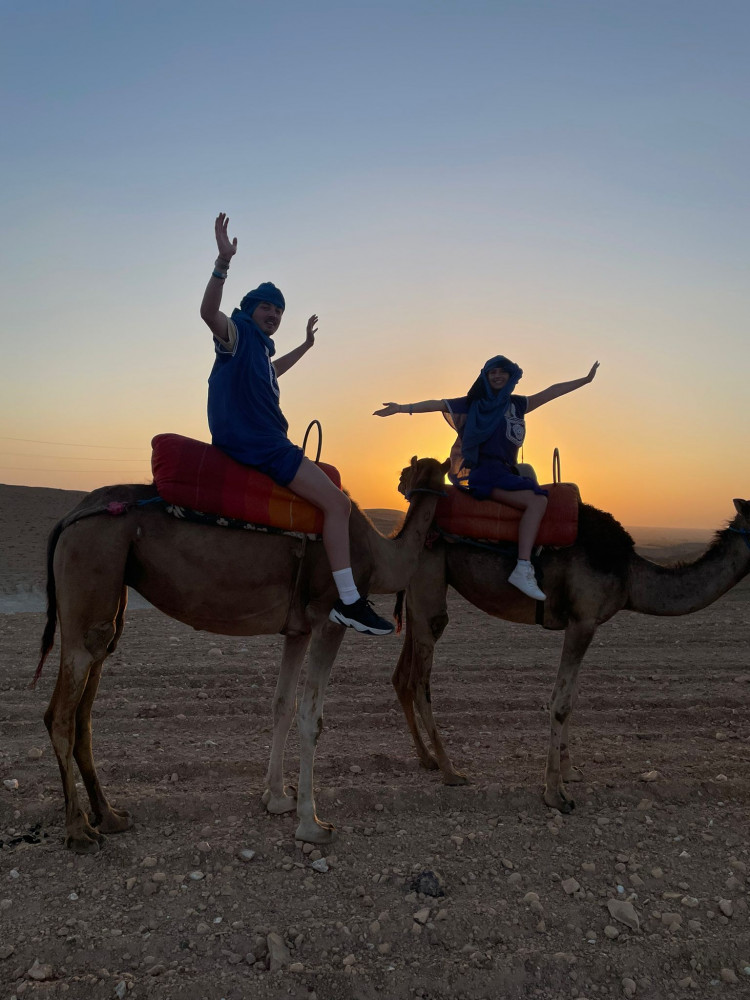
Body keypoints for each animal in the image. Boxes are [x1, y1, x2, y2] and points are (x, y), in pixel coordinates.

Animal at [38, 454, 450, 852]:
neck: (381, 555)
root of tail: (70, 517)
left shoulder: (299, 629)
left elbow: (282, 705)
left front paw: (277, 798)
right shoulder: (327, 618)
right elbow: (310, 717)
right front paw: (312, 825)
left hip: (110, 592)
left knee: (85, 708)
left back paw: (109, 816)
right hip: (90, 561)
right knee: (61, 713)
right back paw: (79, 832)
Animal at [394, 494, 750, 812]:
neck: (628, 575)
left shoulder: (582, 624)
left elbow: (573, 696)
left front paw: (568, 772)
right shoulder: (583, 620)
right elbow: (561, 701)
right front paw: (556, 794)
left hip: (416, 597)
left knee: (401, 677)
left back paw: (426, 759)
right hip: (429, 585)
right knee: (420, 682)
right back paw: (451, 771)